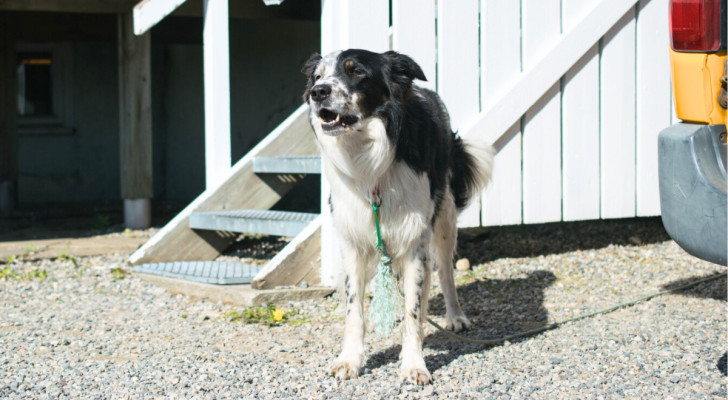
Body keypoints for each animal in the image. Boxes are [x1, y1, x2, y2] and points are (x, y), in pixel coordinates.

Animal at [302, 49, 494, 384]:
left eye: (356, 71)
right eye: (317, 76)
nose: (318, 93)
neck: (370, 159)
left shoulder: (414, 240)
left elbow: (413, 311)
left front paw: (414, 364)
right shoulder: (354, 242)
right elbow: (354, 309)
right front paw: (350, 360)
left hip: (444, 219)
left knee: (445, 271)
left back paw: (455, 317)